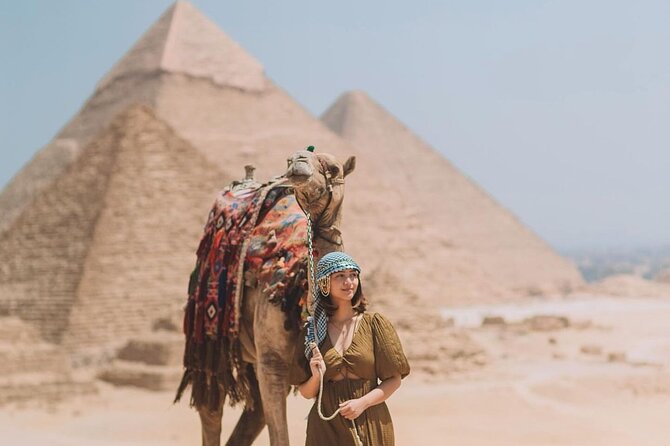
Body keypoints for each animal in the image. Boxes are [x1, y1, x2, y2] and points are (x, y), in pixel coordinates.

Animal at [176, 148, 356, 446]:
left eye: (334, 168)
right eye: (290, 160)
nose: (298, 161)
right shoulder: (273, 363)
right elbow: (279, 436)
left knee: (253, 414)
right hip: (209, 341)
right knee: (212, 408)